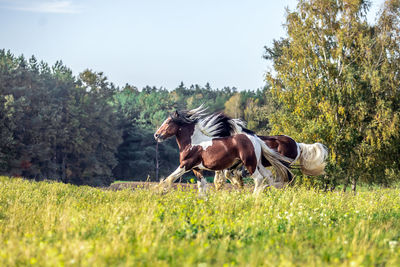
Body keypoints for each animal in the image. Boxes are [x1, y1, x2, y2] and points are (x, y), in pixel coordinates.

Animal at [154, 107, 290, 195]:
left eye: (168, 122)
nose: (156, 135)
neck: (192, 143)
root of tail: (254, 138)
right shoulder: (197, 169)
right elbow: (201, 186)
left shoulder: (185, 165)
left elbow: (169, 179)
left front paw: (158, 191)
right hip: (257, 163)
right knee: (268, 176)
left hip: (250, 163)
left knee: (259, 179)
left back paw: (254, 197)